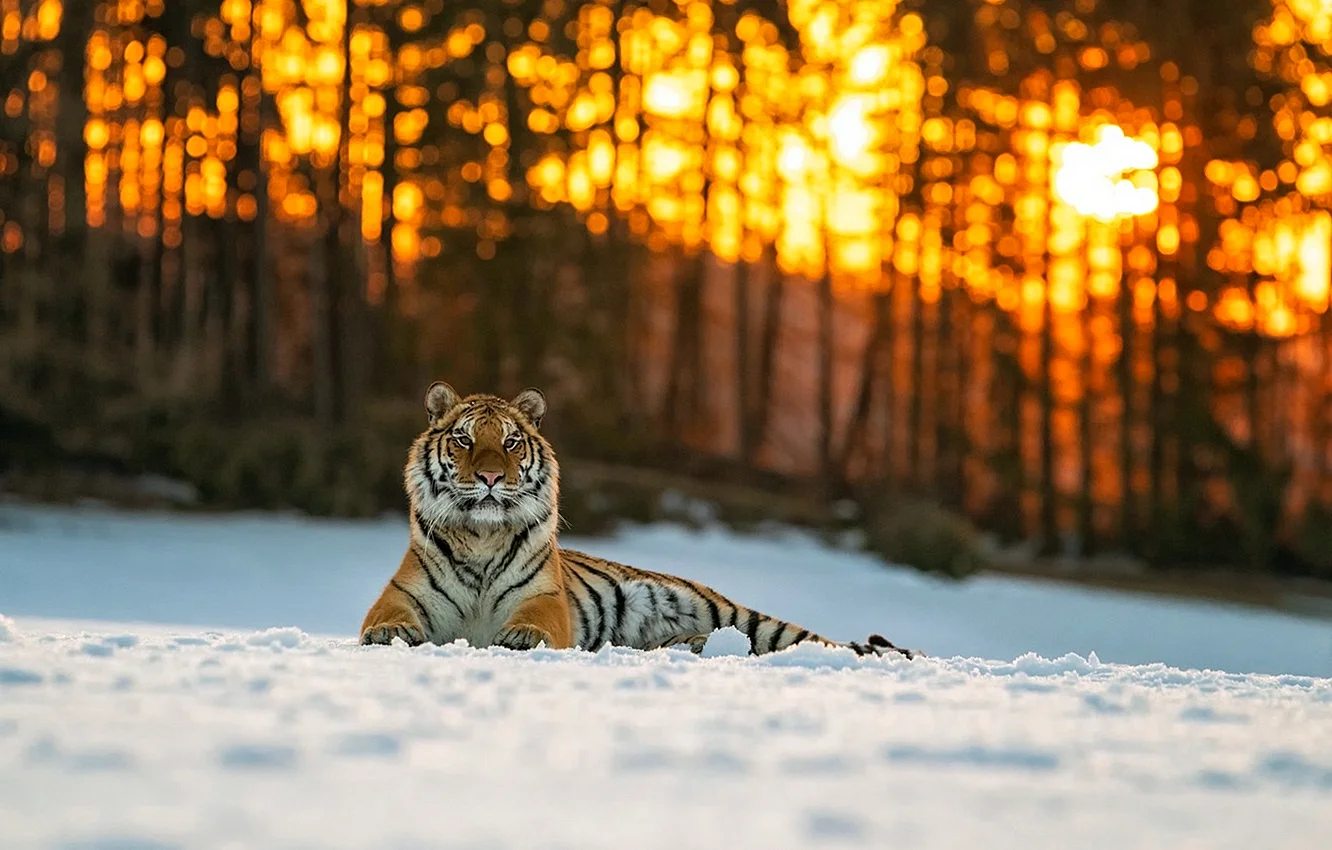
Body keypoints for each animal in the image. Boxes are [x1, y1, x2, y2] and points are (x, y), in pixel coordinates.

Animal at [360, 381, 918, 660]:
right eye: (465, 438)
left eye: (512, 441)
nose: (493, 476)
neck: (480, 533)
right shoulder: (403, 592)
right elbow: (386, 617)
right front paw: (389, 634)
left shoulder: (544, 598)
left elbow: (534, 620)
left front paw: (520, 638)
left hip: (741, 617)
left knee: (820, 642)